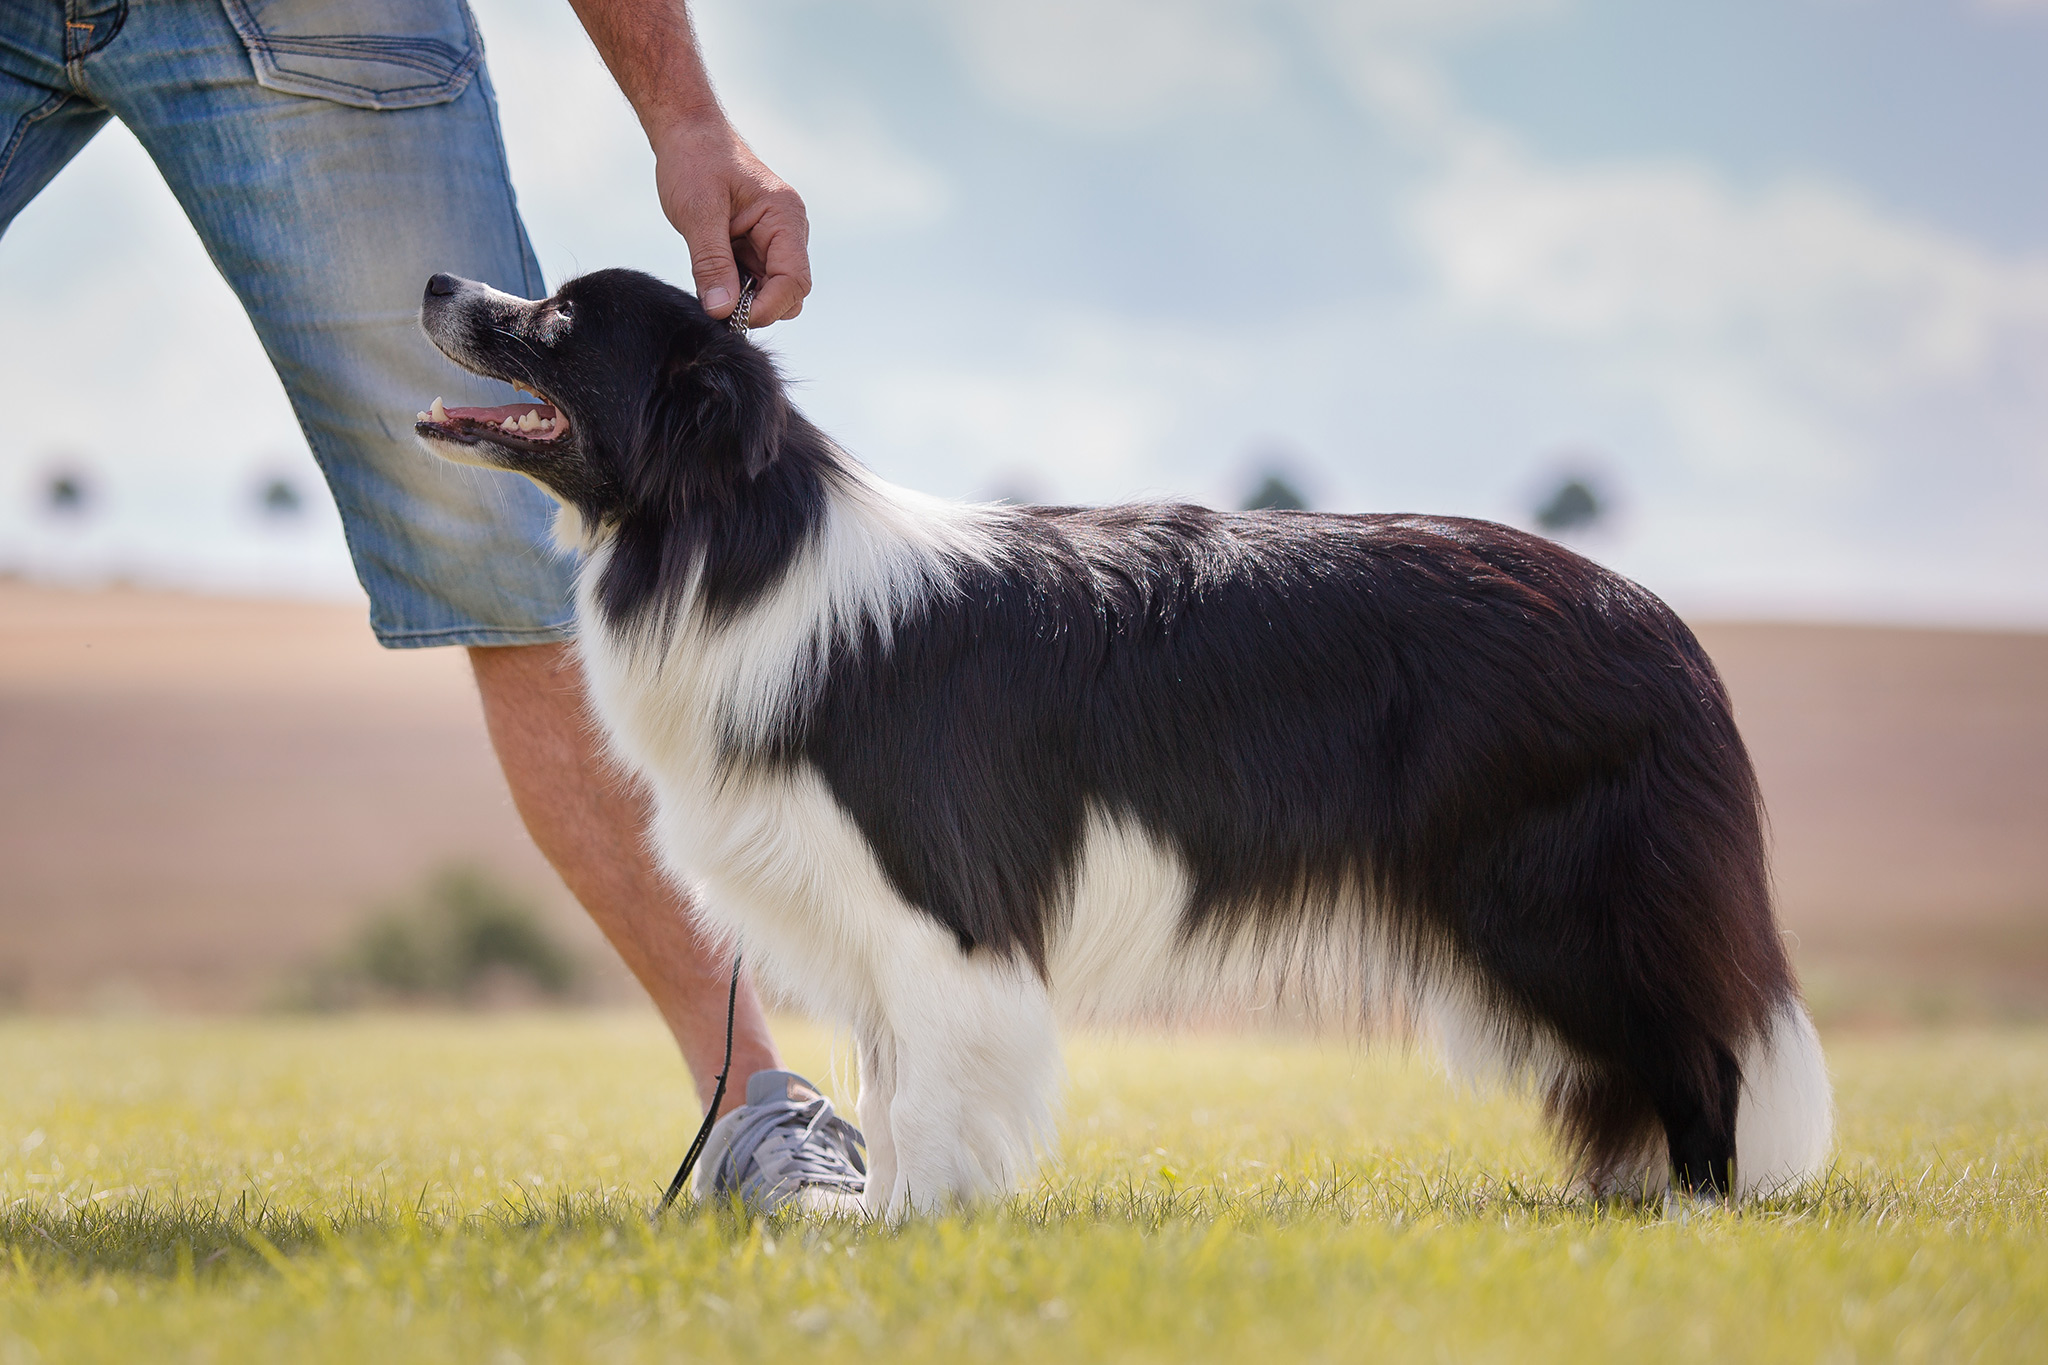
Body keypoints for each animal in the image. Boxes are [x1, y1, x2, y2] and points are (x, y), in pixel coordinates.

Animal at [407, 266, 1835, 1219]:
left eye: (561, 316)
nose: (434, 279)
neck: (730, 538)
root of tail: (1654, 622)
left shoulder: (937, 901)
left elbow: (919, 1089)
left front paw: (913, 1232)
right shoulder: (867, 913)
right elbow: (881, 1081)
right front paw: (880, 1225)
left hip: (1552, 901)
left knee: (1700, 1049)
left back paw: (1696, 1209)